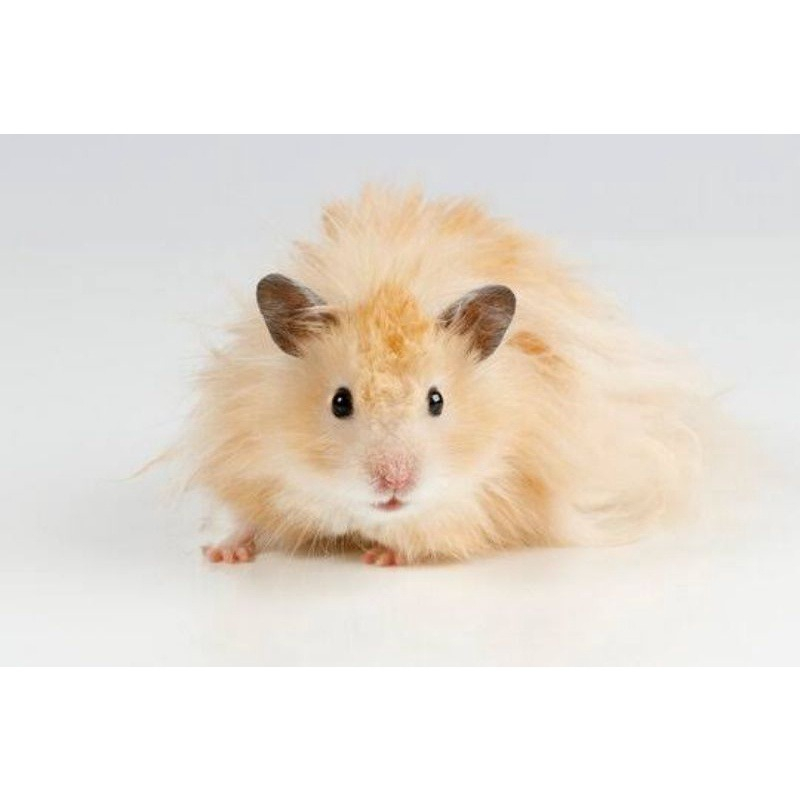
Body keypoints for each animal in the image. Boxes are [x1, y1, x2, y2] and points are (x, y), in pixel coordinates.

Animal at [186, 187, 709, 566]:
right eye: (340, 402)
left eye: (437, 400)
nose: (394, 485)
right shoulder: (243, 446)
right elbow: (235, 511)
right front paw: (223, 555)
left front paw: (381, 555)